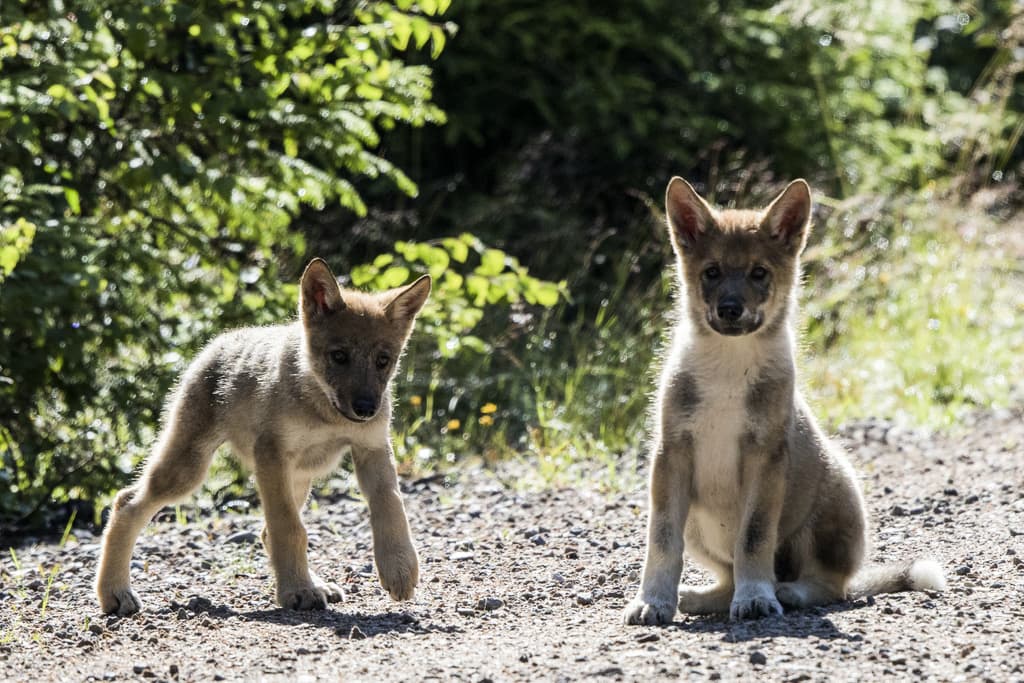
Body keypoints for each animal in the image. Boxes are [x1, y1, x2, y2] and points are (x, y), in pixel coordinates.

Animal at [96, 258, 430, 616]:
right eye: (339, 356)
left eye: (384, 361)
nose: (366, 408)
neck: (324, 412)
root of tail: (220, 341)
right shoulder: (271, 455)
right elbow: (289, 528)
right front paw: (297, 590)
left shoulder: (372, 447)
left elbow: (391, 507)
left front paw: (399, 569)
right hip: (189, 471)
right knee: (126, 502)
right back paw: (114, 593)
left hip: (298, 478)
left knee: (266, 531)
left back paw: (318, 585)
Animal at [624, 178, 945, 625]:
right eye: (712, 272)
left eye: (759, 273)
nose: (730, 309)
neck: (729, 369)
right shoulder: (671, 454)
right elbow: (662, 540)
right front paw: (653, 601)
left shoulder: (767, 455)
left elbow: (753, 538)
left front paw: (756, 597)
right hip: (699, 525)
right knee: (729, 579)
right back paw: (699, 599)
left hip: (831, 499)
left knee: (831, 585)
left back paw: (787, 592)